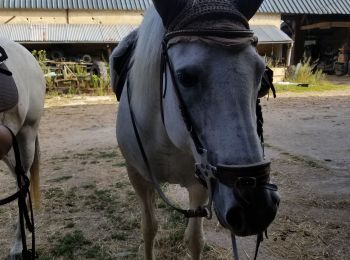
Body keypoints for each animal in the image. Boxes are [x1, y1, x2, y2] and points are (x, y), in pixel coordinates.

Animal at [111, 1, 278, 258]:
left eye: (262, 78)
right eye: (185, 77)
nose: (257, 208)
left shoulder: (201, 185)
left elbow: (195, 239)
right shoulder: (138, 177)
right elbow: (149, 228)